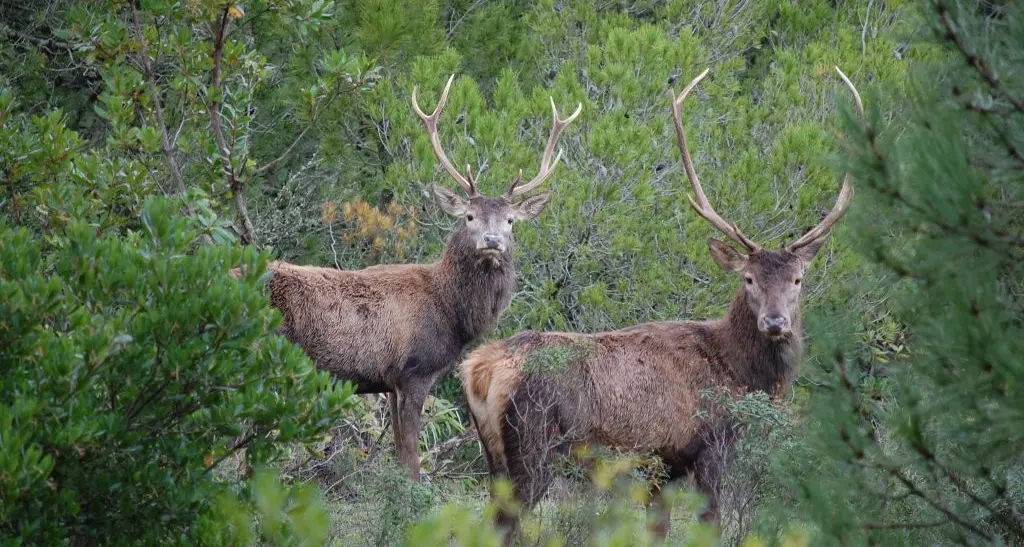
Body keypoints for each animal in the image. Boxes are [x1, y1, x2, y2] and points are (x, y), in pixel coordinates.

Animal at [236, 76, 581, 479]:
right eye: (469, 216)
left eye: (510, 220)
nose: (492, 241)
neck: (451, 312)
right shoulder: (414, 371)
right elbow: (411, 461)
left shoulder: (388, 383)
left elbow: (400, 454)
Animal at [460, 66, 860, 540]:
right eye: (748, 278)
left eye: (798, 279)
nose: (776, 322)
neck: (739, 371)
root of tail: (479, 369)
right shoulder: (709, 447)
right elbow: (710, 526)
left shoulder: (665, 466)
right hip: (533, 445)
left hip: (493, 456)